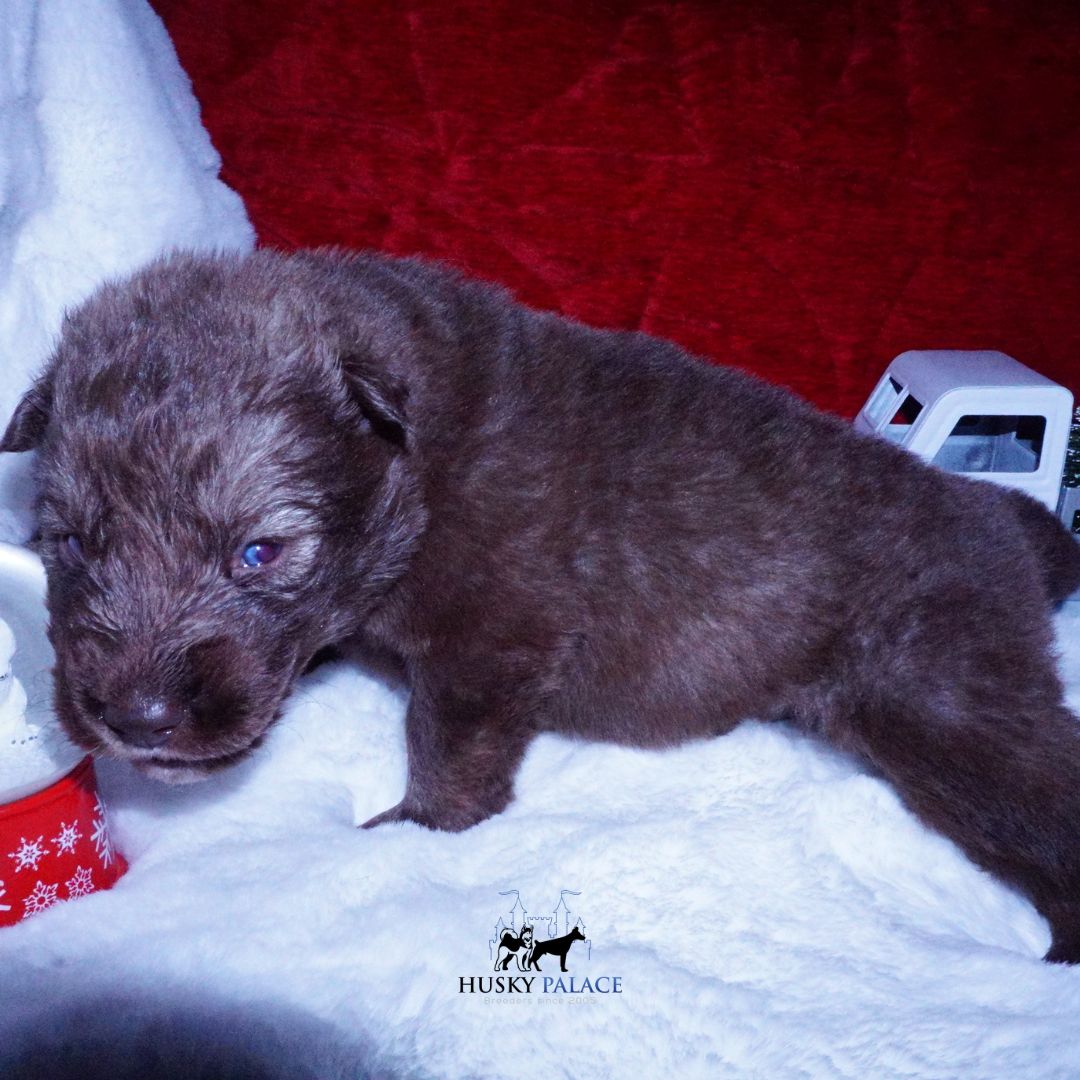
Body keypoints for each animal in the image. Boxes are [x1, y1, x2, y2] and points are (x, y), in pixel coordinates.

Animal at [4, 249, 1080, 963]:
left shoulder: (487, 645)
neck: (420, 461)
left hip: (948, 705)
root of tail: (993, 511)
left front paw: (418, 829)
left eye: (258, 552)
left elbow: (450, 750)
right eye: (71, 545)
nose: (135, 718)